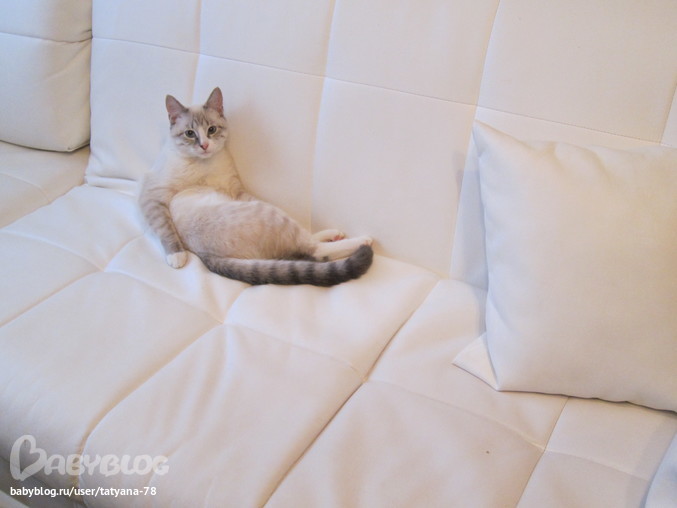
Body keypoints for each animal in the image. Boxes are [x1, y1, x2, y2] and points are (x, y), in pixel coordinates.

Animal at [139, 87, 374, 286]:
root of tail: (208, 257)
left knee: (309, 239)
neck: (204, 166)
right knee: (314, 249)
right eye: (190, 133)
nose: (204, 146)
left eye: (211, 130)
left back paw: (335, 233)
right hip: (273, 214)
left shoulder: (236, 189)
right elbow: (164, 228)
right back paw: (363, 240)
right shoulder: (155, 194)